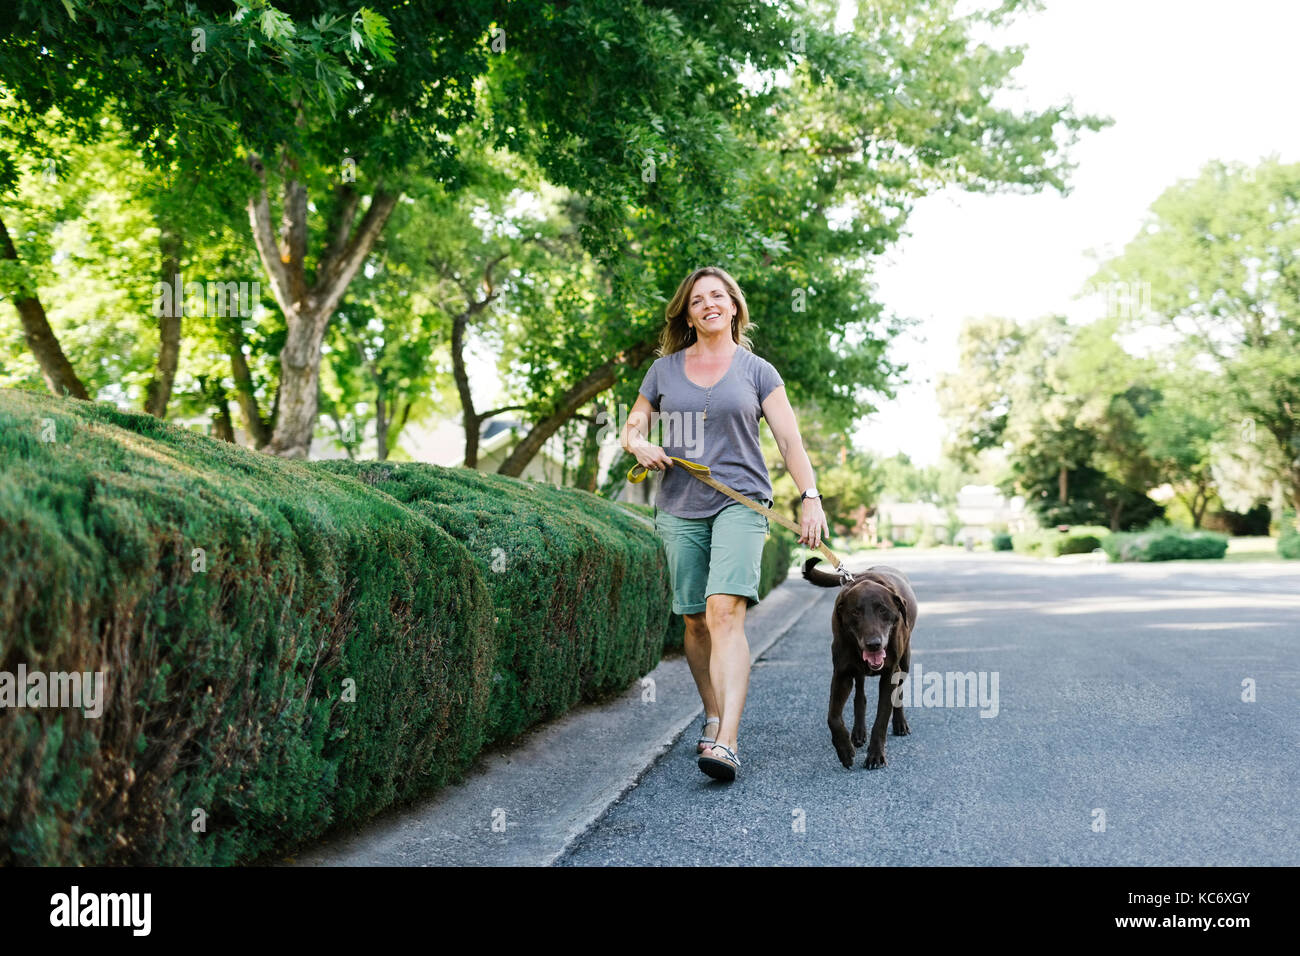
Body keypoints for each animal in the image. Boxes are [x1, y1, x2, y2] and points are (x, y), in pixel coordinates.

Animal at [795, 561, 920, 770]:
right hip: (858, 671)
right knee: (860, 696)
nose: (873, 644)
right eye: (855, 612)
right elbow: (832, 717)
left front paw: (876, 755)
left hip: (905, 661)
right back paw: (858, 732)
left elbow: (881, 718)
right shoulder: (841, 675)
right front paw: (844, 749)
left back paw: (899, 723)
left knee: (899, 691)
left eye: (883, 609)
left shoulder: (889, 675)